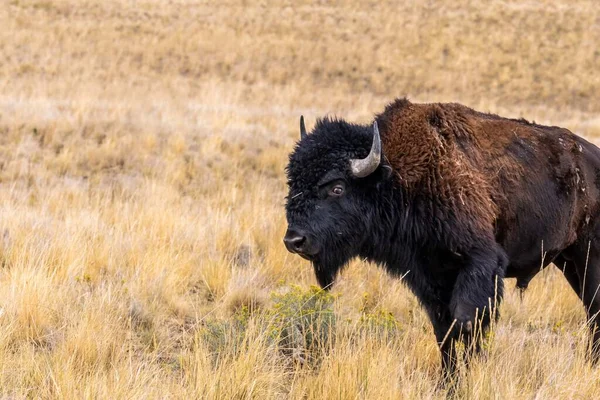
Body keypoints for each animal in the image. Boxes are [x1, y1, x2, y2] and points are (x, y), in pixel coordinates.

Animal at [284, 98, 600, 380]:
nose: (294, 240)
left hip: (588, 257)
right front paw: (449, 382)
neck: (399, 175)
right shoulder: (429, 277)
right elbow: (443, 332)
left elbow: (466, 326)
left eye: (337, 187)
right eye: (293, 182)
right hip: (568, 262)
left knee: (594, 308)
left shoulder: (480, 264)